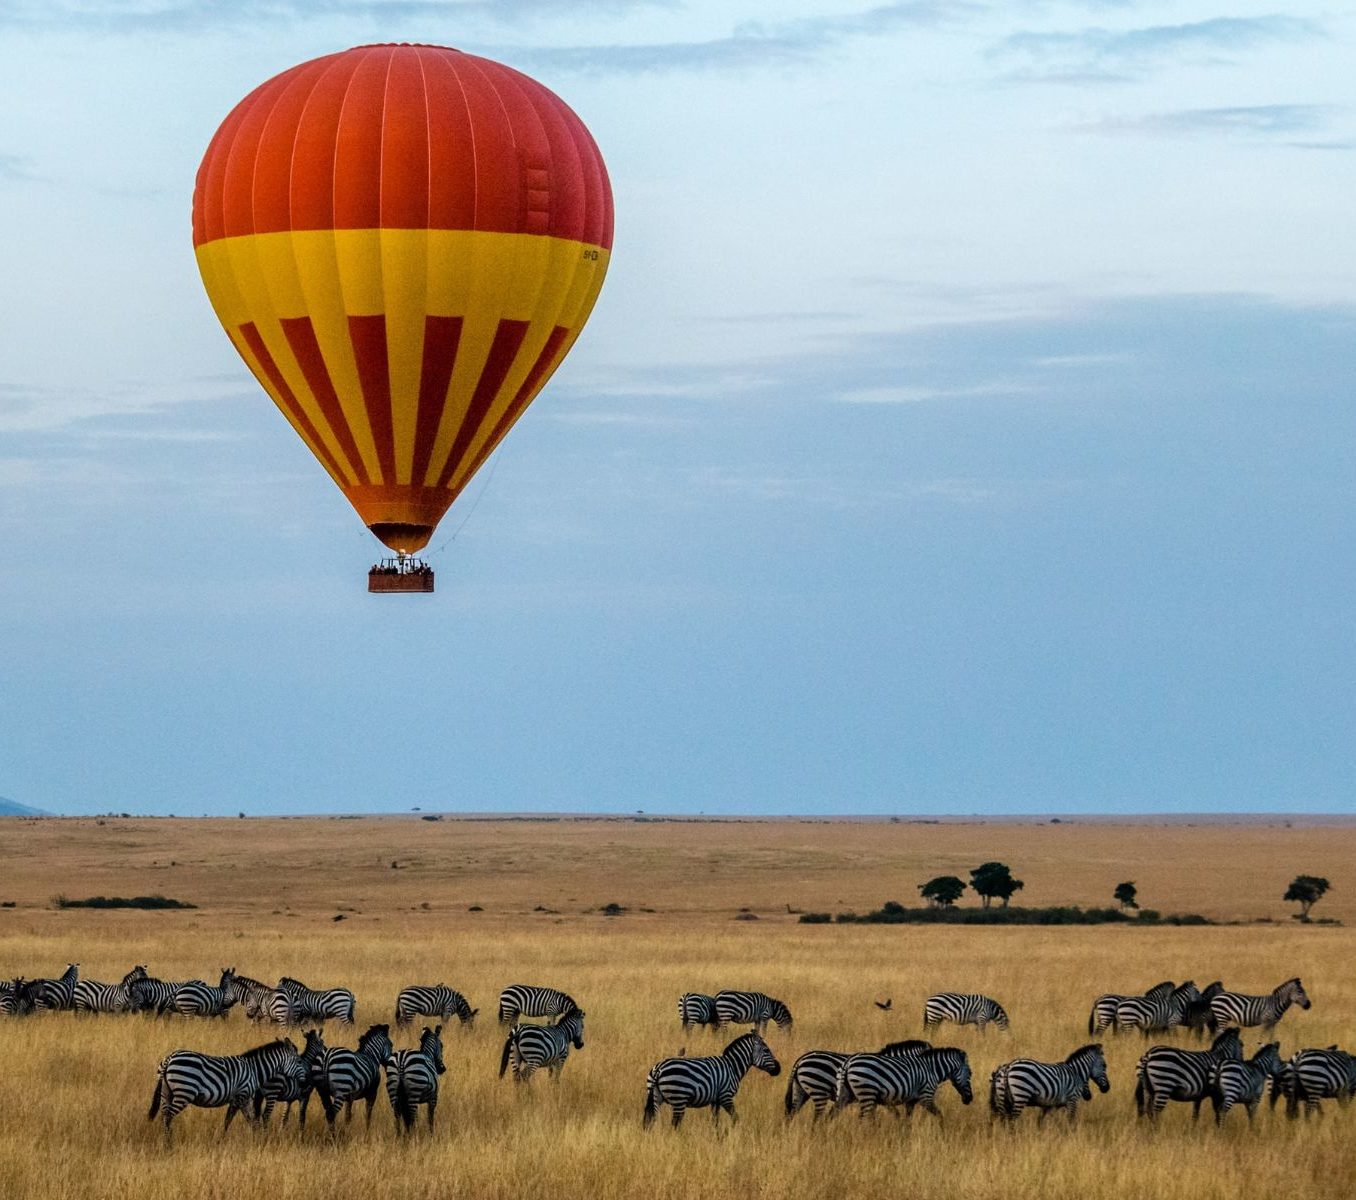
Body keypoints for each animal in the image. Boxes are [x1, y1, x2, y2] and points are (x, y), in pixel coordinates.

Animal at [147, 1038, 302, 1140]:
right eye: (299, 1061)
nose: (305, 1078)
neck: (255, 1070)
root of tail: (169, 1058)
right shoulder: (241, 1095)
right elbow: (229, 1119)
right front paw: (222, 1139)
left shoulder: (245, 1099)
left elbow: (252, 1120)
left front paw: (257, 1139)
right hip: (184, 1092)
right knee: (168, 1115)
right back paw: (168, 1142)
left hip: (166, 1093)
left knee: (164, 1114)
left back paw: (165, 1138)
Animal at [643, 1030, 781, 1128]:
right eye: (766, 1050)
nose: (779, 1069)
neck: (732, 1066)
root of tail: (658, 1069)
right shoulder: (726, 1096)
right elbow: (735, 1117)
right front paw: (735, 1132)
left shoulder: (716, 1100)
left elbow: (715, 1120)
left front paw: (717, 1136)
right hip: (679, 1099)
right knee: (675, 1124)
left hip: (656, 1097)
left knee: (651, 1120)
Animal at [835, 1046, 973, 1120]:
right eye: (970, 1074)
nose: (970, 1099)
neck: (932, 1069)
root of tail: (849, 1062)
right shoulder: (926, 1096)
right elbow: (939, 1115)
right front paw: (943, 1133)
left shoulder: (910, 1101)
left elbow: (907, 1121)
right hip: (867, 1092)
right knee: (863, 1118)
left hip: (847, 1094)